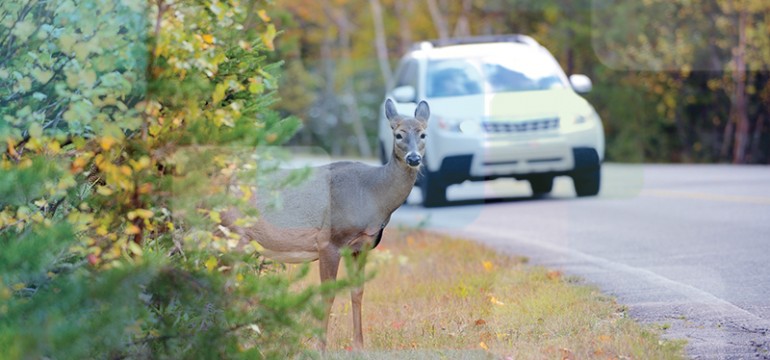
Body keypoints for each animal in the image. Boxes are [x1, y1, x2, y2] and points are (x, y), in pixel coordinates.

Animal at [219, 97, 428, 348]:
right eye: (398, 134)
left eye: (423, 134)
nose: (414, 158)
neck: (371, 194)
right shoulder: (329, 241)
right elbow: (328, 295)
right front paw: (320, 347)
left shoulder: (362, 246)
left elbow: (358, 292)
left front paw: (359, 346)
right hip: (232, 233)